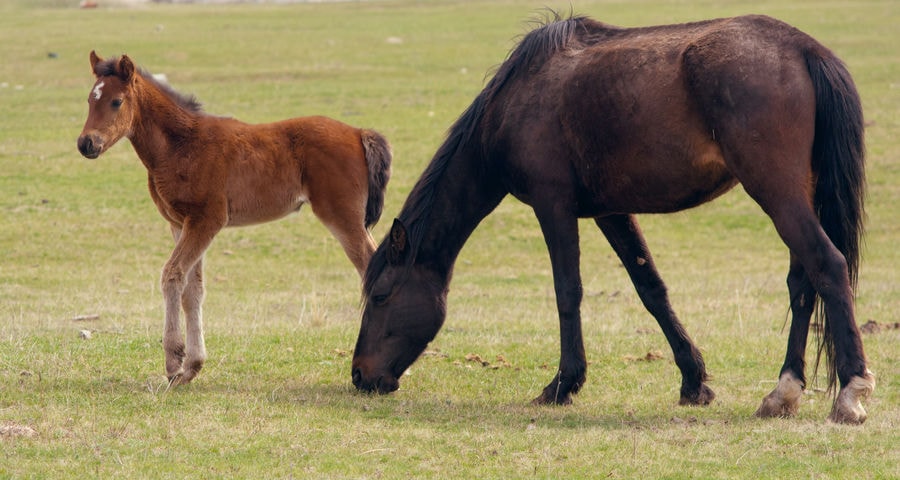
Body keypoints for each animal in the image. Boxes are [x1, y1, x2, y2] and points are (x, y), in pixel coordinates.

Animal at [74, 50, 390, 384]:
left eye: (116, 101)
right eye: (90, 100)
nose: (86, 143)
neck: (181, 144)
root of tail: (359, 133)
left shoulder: (207, 220)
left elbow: (172, 274)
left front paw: (174, 362)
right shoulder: (180, 224)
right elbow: (192, 289)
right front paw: (192, 366)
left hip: (342, 216)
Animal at [350, 13, 872, 422]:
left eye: (380, 296)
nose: (359, 375)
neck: (515, 103)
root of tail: (804, 48)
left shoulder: (554, 205)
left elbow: (568, 291)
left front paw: (563, 385)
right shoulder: (612, 211)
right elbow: (651, 289)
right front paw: (693, 380)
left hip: (775, 192)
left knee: (827, 265)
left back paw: (851, 390)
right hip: (795, 194)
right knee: (802, 282)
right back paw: (784, 392)